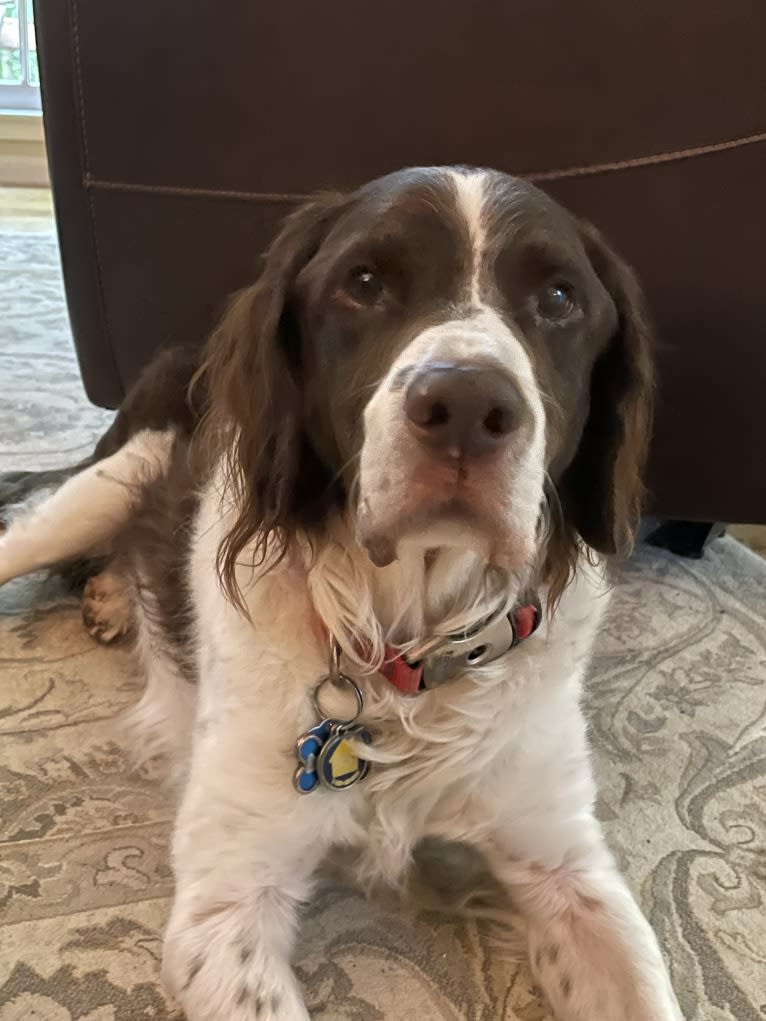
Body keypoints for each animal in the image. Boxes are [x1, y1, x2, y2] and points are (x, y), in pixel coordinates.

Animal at [0, 167, 682, 1021]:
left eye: (559, 297)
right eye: (363, 282)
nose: (466, 405)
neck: (409, 654)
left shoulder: (564, 860)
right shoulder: (229, 897)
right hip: (100, 486)